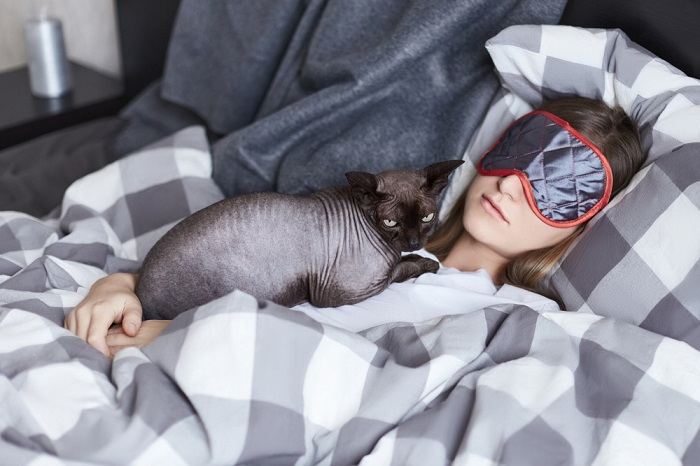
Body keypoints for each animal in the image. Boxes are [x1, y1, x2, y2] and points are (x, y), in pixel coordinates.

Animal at [137, 160, 464, 320]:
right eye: (391, 222)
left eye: (427, 217)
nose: (413, 241)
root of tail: (140, 292)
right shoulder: (339, 293)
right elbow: (399, 269)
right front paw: (425, 263)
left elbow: (401, 263)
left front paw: (418, 257)